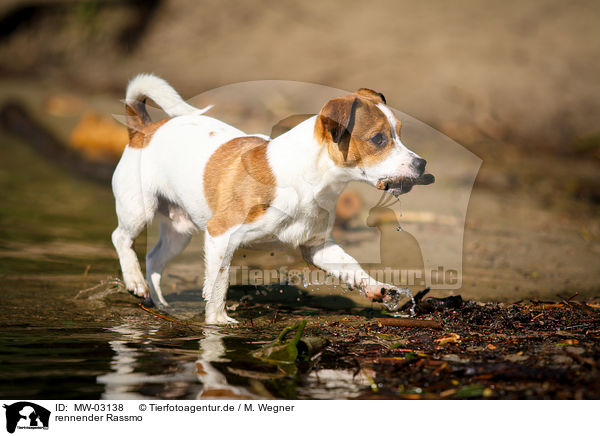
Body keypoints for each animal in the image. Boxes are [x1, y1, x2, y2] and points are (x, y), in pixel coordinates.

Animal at [111, 74, 432, 324]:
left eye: (399, 133)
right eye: (378, 139)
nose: (422, 164)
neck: (307, 180)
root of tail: (143, 129)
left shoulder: (317, 246)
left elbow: (351, 265)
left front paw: (376, 288)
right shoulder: (220, 235)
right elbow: (219, 283)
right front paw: (217, 322)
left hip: (179, 232)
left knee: (154, 258)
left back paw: (159, 302)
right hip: (138, 210)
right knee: (120, 238)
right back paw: (135, 281)